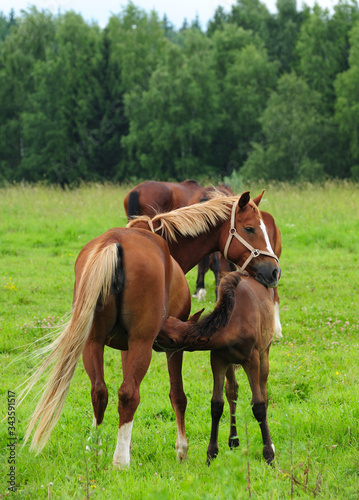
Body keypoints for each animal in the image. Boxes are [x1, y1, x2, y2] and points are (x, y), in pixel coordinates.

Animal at [158, 274, 276, 464]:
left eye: (172, 340)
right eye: (169, 321)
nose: (153, 340)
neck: (235, 325)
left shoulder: (251, 360)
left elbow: (258, 405)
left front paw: (269, 455)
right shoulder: (218, 359)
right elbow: (217, 404)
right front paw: (211, 454)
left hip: (264, 353)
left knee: (263, 392)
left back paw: (269, 444)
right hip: (230, 364)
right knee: (232, 390)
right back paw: (233, 440)